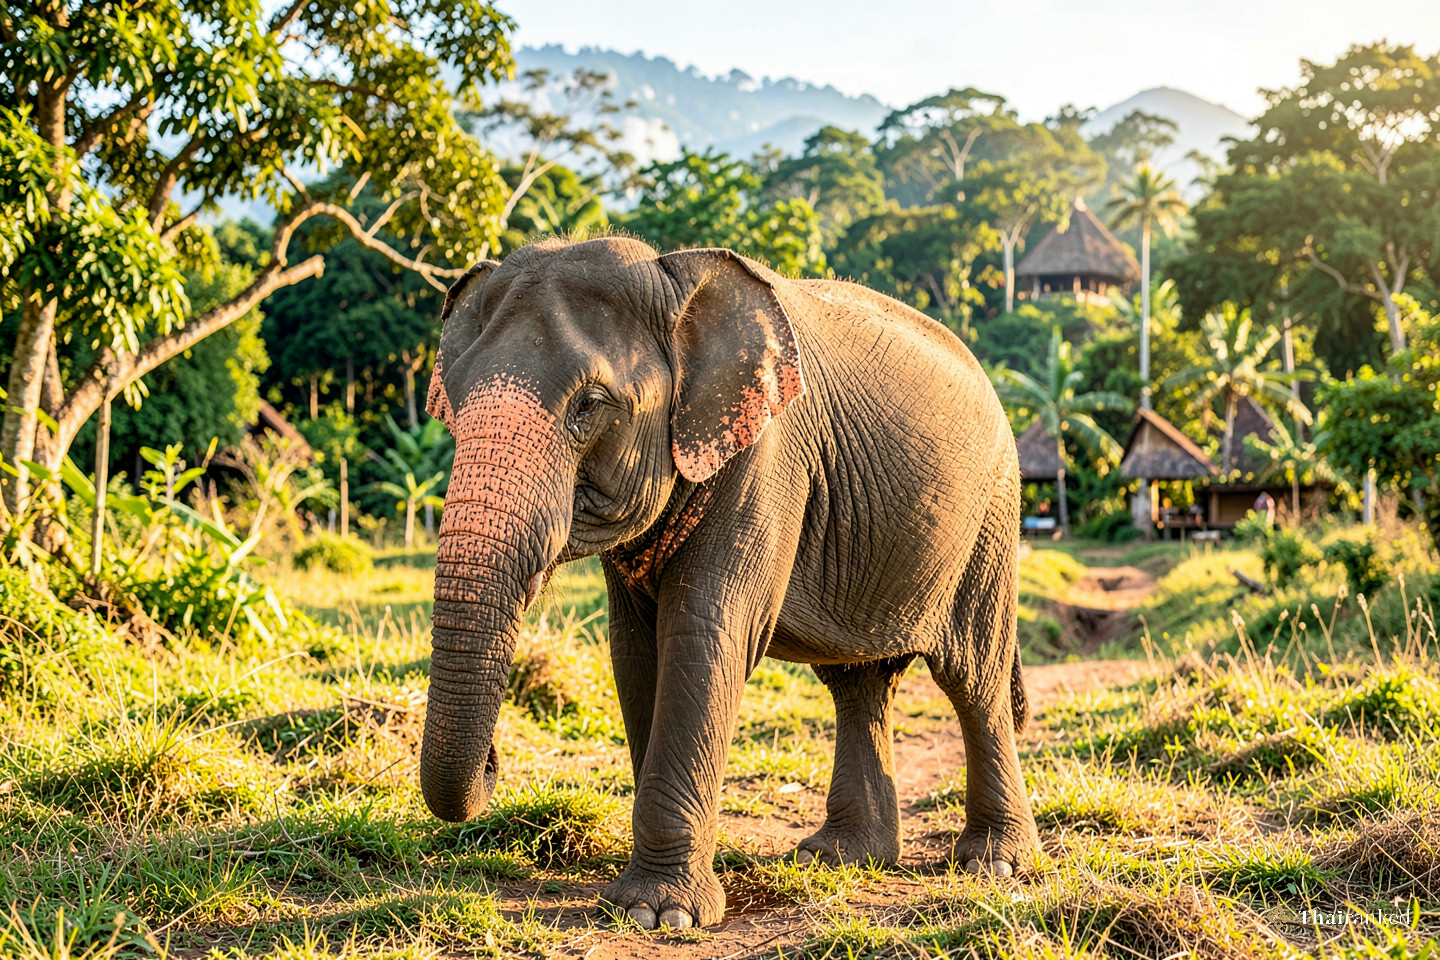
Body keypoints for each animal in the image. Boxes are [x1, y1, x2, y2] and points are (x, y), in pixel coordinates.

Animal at [419, 235, 1039, 930]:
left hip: (992, 517)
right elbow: (636, 653)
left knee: (973, 680)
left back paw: (995, 864)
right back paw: (840, 858)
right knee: (859, 683)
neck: (672, 281)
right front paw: (658, 903)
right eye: (452, 406)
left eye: (590, 406)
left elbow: (704, 633)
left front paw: (659, 915)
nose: (494, 765)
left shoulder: (768, 456)